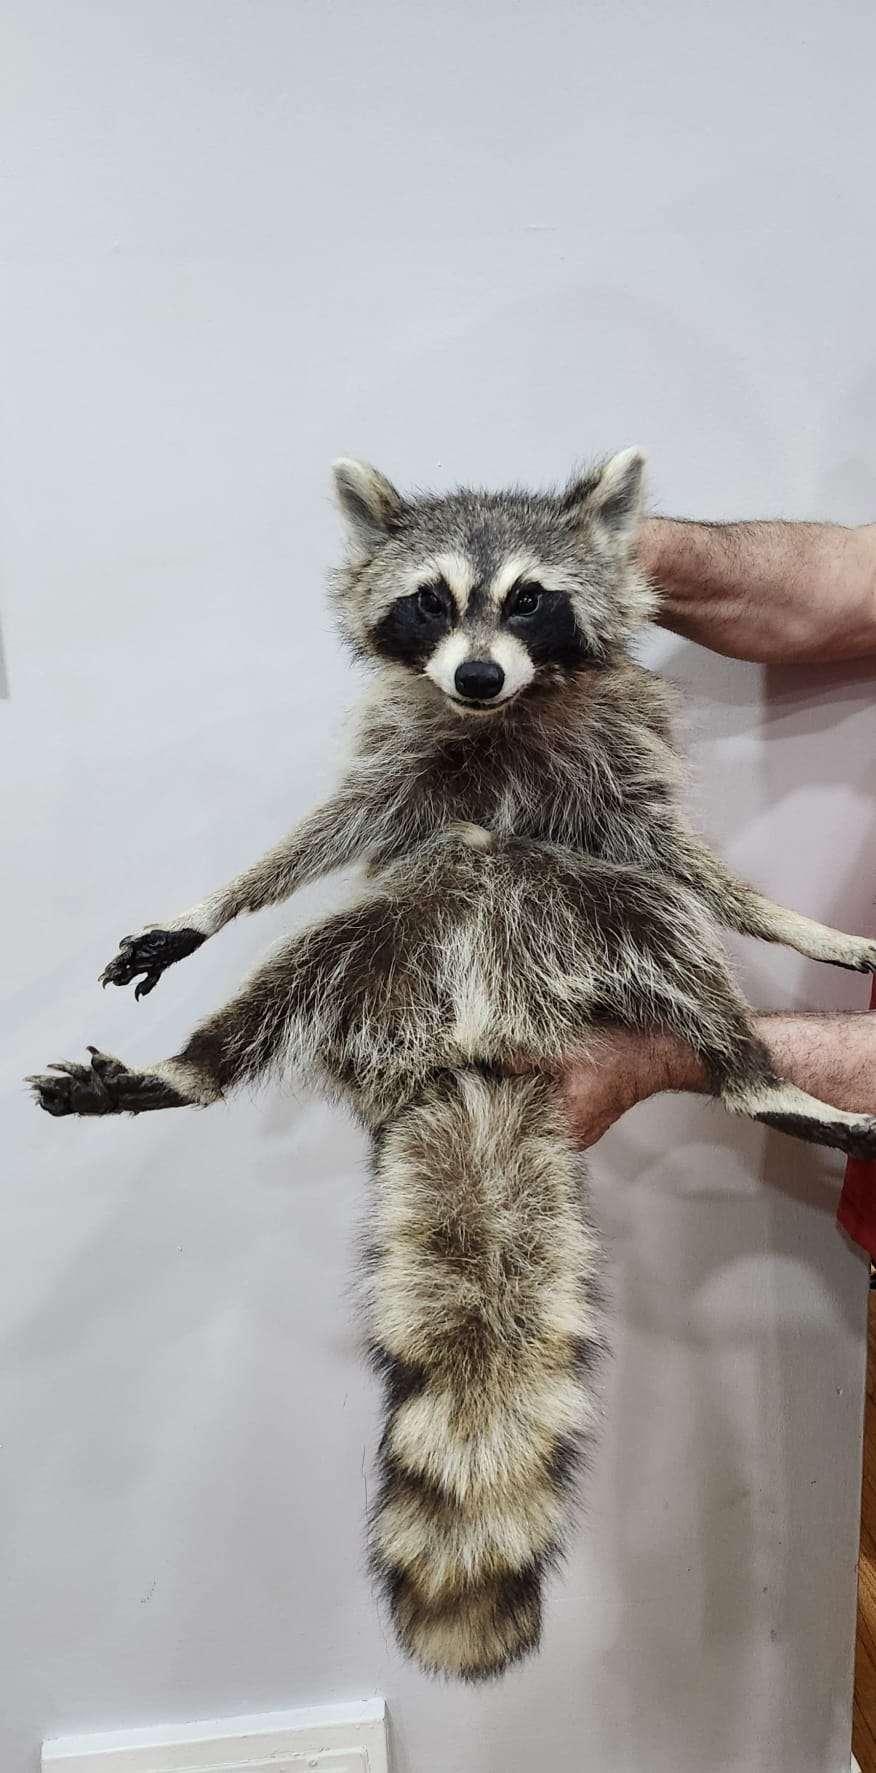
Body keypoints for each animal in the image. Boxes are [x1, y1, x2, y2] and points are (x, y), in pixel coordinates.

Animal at [29, 450, 876, 1682]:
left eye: (529, 599)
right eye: (432, 600)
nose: (476, 672)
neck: (505, 715)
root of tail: (476, 1045)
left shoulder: (617, 768)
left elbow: (695, 874)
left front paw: (796, 925)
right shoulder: (397, 761)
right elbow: (313, 842)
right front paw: (209, 908)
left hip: (591, 918)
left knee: (675, 935)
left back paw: (752, 1069)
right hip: (388, 944)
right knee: (303, 961)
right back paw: (195, 1063)